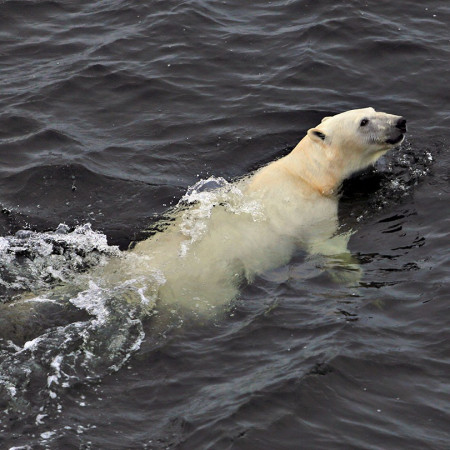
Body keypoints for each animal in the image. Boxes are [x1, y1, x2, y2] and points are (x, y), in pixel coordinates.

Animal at [93, 107, 406, 314]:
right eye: (364, 122)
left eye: (373, 110)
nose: (400, 122)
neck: (308, 174)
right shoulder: (312, 213)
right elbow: (329, 247)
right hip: (204, 285)